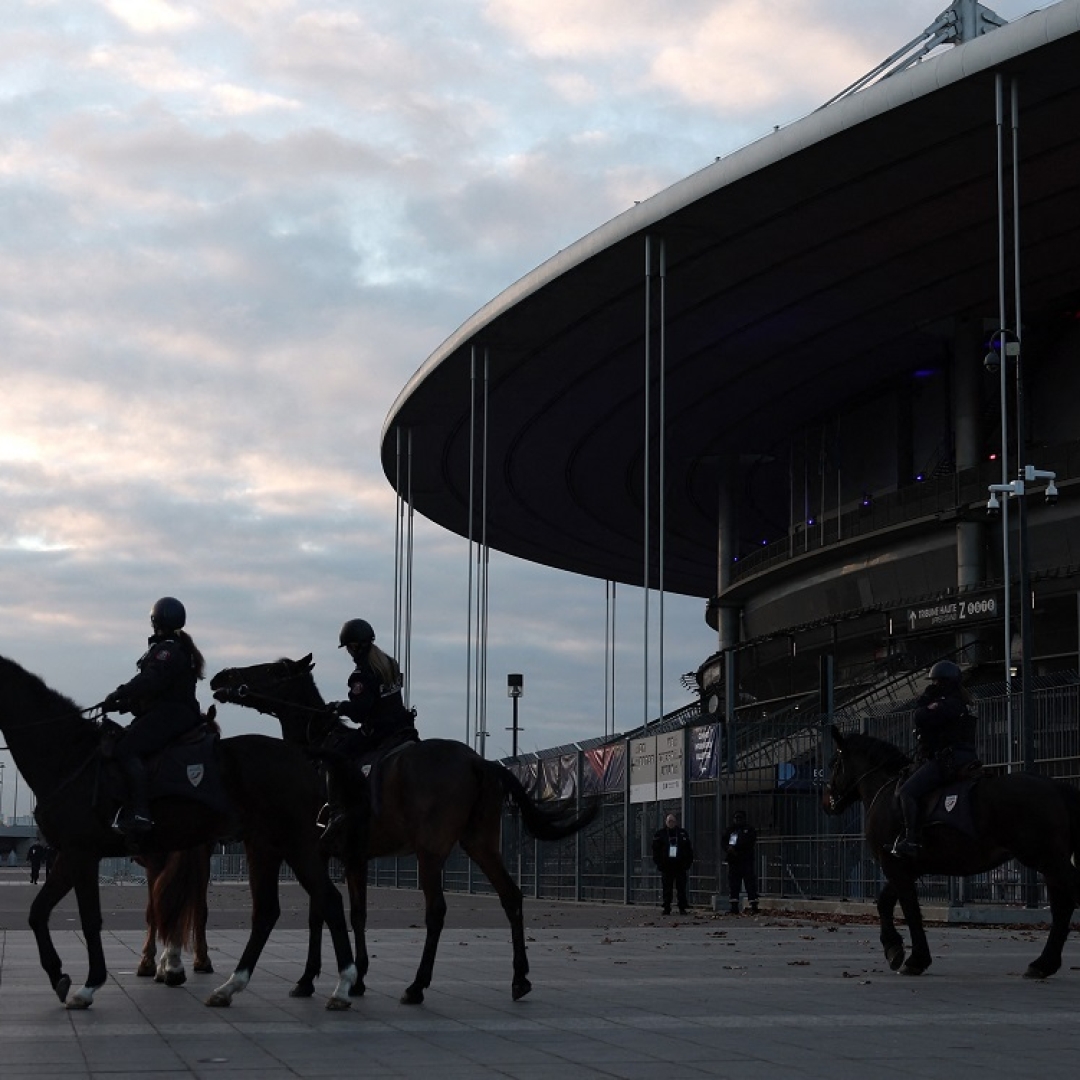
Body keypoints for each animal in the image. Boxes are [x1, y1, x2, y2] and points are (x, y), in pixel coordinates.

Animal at [0, 648, 356, 1010]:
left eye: (274, 671)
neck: (69, 755)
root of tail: (302, 755)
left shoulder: (82, 854)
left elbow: (90, 919)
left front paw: (89, 985)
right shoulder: (69, 855)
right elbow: (37, 912)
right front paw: (58, 974)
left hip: (298, 843)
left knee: (328, 900)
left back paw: (342, 986)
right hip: (264, 846)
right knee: (267, 911)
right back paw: (230, 986)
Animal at [210, 656, 600, 1002]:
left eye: (272, 670)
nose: (220, 677)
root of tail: (478, 761)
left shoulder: (314, 850)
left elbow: (318, 911)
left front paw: (308, 978)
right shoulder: (355, 856)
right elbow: (357, 913)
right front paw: (358, 977)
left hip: (430, 851)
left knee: (436, 911)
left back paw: (417, 985)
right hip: (481, 844)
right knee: (511, 896)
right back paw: (519, 978)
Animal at [820, 725, 1080, 980]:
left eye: (834, 763)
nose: (827, 802)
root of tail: (1056, 786)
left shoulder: (893, 864)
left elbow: (910, 910)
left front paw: (915, 958)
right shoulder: (905, 867)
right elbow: (885, 902)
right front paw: (894, 948)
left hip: (1048, 861)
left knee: (1066, 903)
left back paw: (1044, 963)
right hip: (1050, 864)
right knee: (1063, 907)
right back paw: (1044, 964)